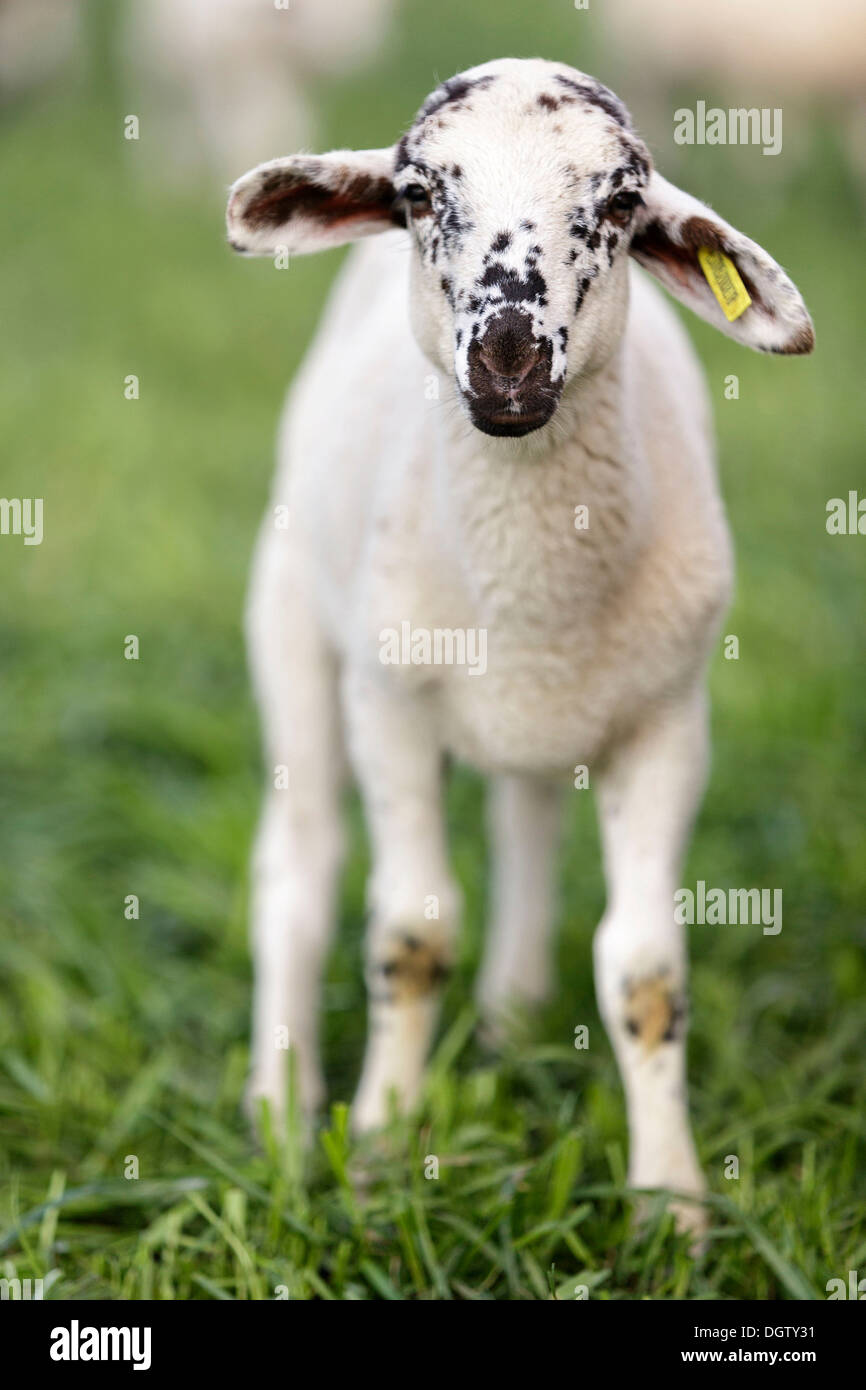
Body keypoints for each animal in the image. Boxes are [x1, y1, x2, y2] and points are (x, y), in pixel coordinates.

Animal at [226, 58, 813, 1236]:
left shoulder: (666, 720)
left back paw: (510, 1017)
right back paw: (281, 1106)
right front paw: (380, 1152)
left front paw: (670, 1205)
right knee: (300, 867)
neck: (532, 581)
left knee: (525, 820)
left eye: (622, 203)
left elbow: (643, 970)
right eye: (415, 195)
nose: (508, 359)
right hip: (293, 623)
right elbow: (409, 937)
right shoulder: (390, 704)